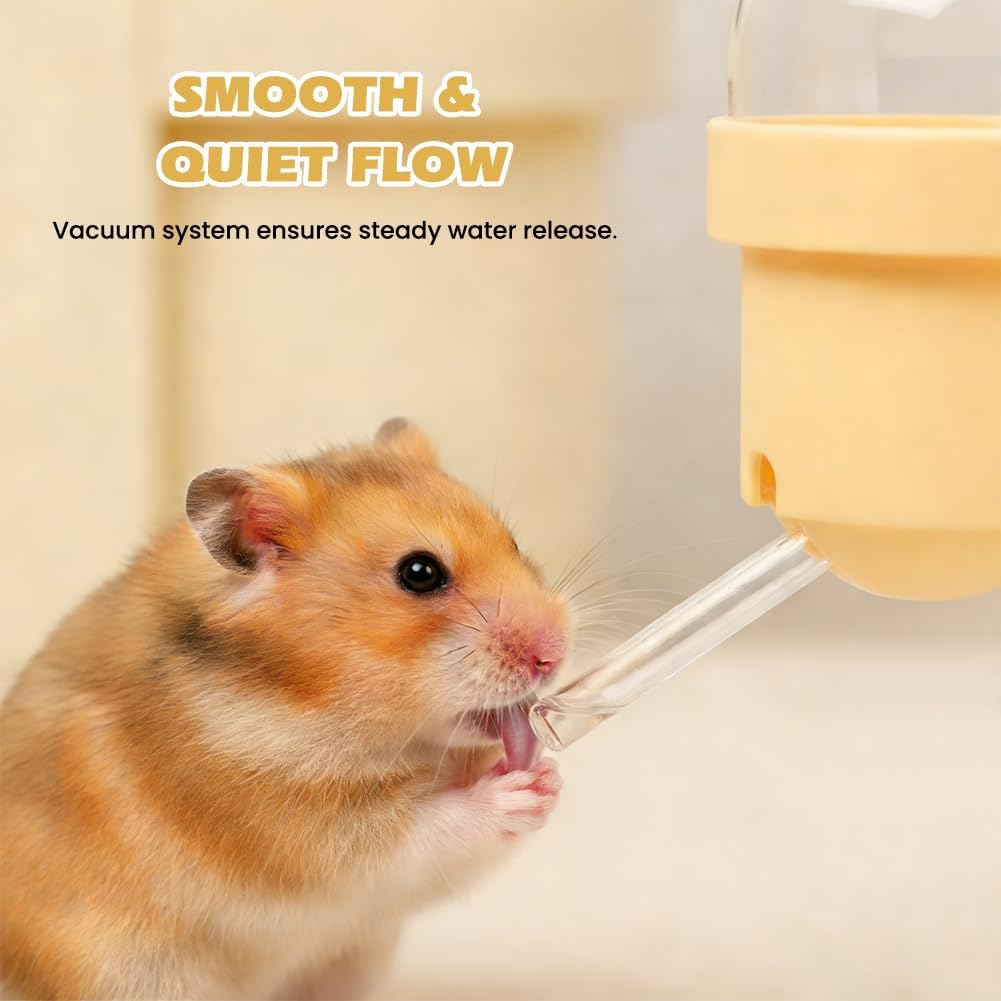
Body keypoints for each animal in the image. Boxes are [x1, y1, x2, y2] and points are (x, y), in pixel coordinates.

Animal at [0, 419, 570, 1000]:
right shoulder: (305, 836)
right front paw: (524, 789)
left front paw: (549, 779)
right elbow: (421, 829)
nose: (555, 653)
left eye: (512, 540)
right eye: (419, 573)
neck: (305, 703)